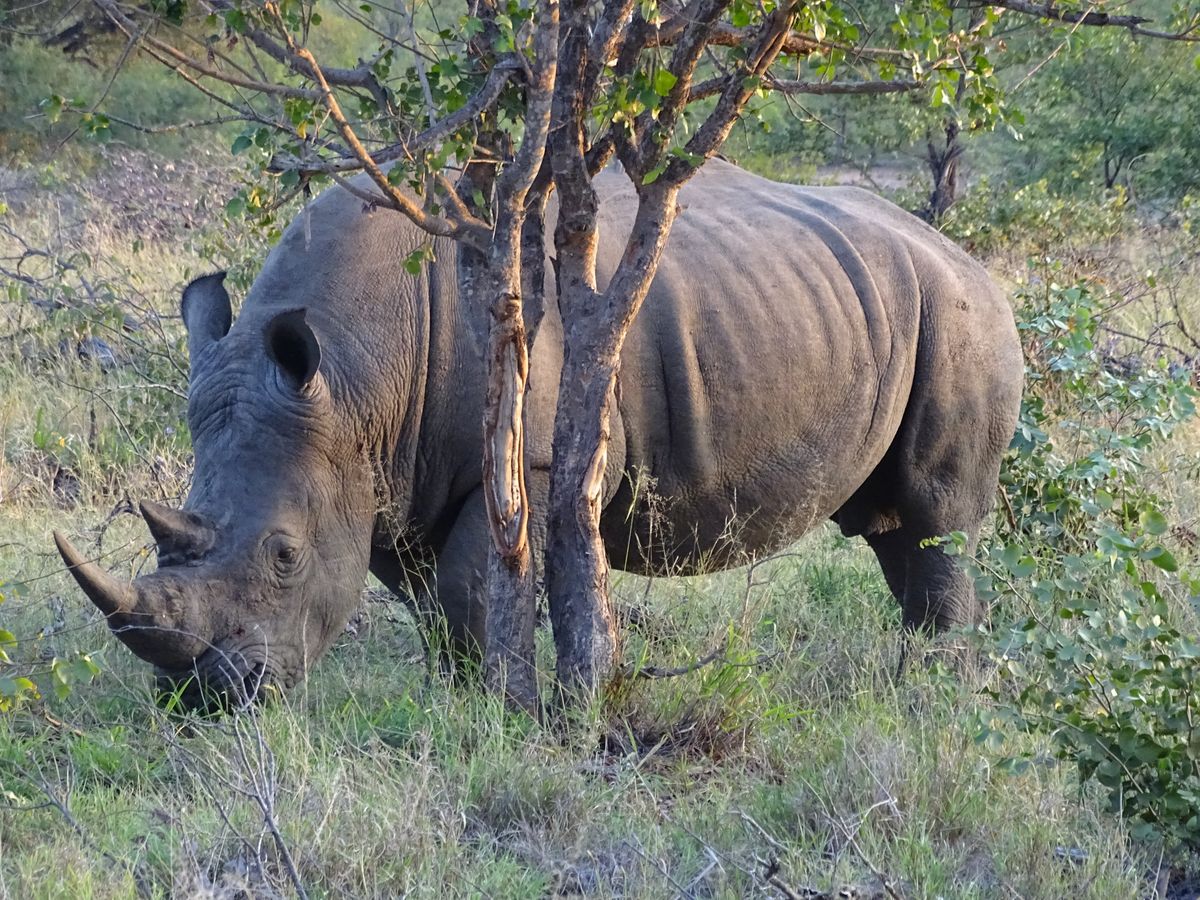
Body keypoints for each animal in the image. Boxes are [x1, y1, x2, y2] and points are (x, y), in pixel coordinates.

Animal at [55, 159, 1023, 705]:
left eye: (284, 556)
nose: (205, 700)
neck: (352, 377)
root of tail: (978, 262)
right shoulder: (388, 475)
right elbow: (435, 603)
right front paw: (464, 697)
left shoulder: (527, 456)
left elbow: (471, 589)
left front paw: (501, 710)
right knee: (897, 532)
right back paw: (915, 684)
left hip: (961, 318)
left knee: (937, 521)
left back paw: (937, 698)